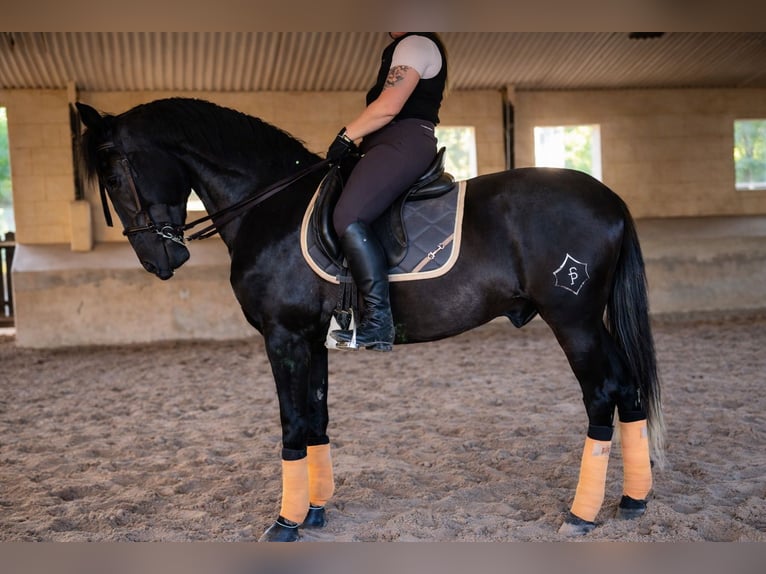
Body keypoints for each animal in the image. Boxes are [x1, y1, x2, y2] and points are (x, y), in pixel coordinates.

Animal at [76, 97, 664, 541]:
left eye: (113, 173)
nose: (158, 261)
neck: (269, 205)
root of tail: (609, 198)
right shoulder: (311, 339)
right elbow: (316, 418)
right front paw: (313, 513)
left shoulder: (284, 337)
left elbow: (292, 423)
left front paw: (284, 523)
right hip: (590, 321)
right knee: (628, 388)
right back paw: (633, 501)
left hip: (574, 320)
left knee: (602, 395)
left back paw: (580, 515)